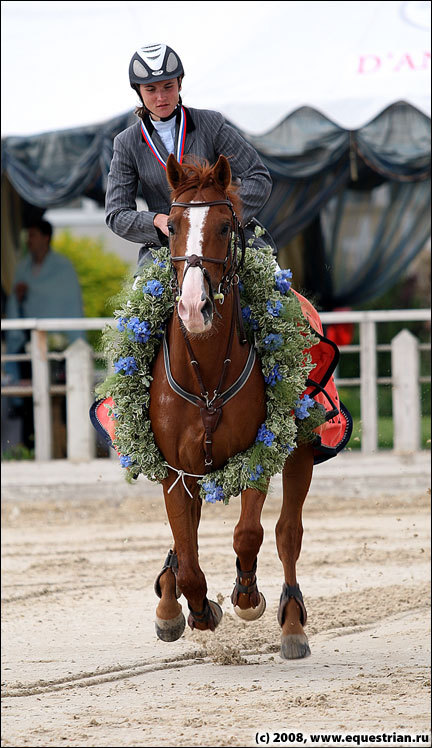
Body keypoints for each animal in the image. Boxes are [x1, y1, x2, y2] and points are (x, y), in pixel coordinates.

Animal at [148, 155, 314, 656]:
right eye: (172, 226)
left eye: (224, 226)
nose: (194, 306)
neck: (206, 371)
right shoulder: (177, 470)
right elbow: (187, 553)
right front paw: (196, 607)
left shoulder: (259, 451)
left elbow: (249, 533)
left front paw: (246, 596)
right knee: (187, 542)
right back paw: (170, 602)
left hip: (300, 452)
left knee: (287, 533)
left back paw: (292, 623)